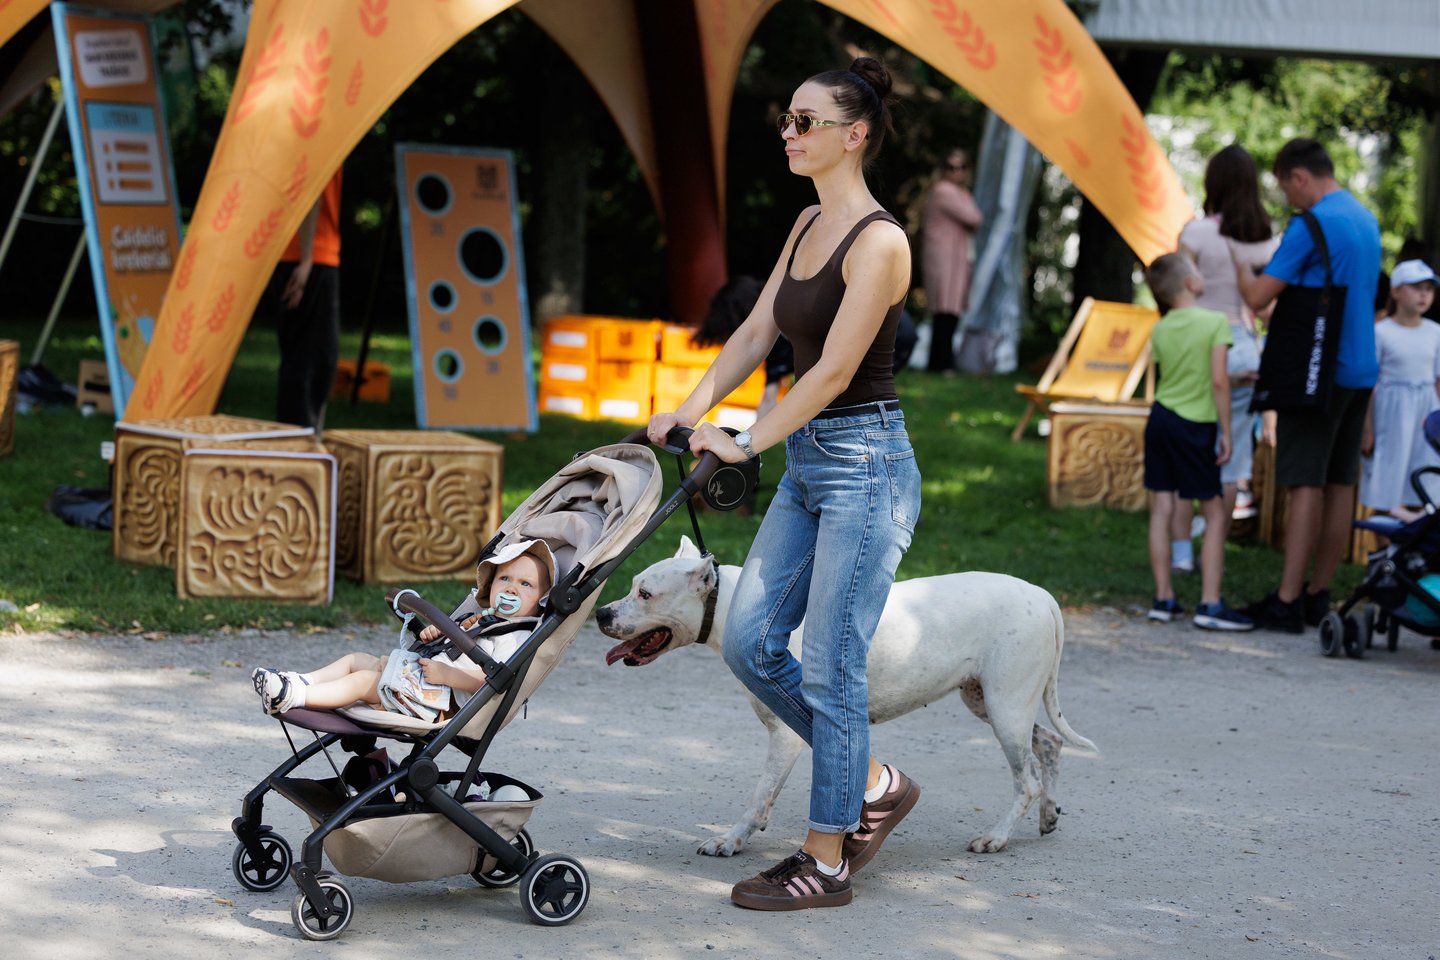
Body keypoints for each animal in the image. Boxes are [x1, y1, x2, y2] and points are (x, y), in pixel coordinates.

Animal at [595, 536, 1097, 856]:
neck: (735, 608)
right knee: (1049, 743)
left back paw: (996, 837)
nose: (600, 612)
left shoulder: (788, 733)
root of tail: (1043, 596)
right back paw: (1048, 815)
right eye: (632, 584)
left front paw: (731, 840)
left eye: (646, 593)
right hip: (989, 701)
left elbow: (760, 795)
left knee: (1026, 780)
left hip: (1005, 705)